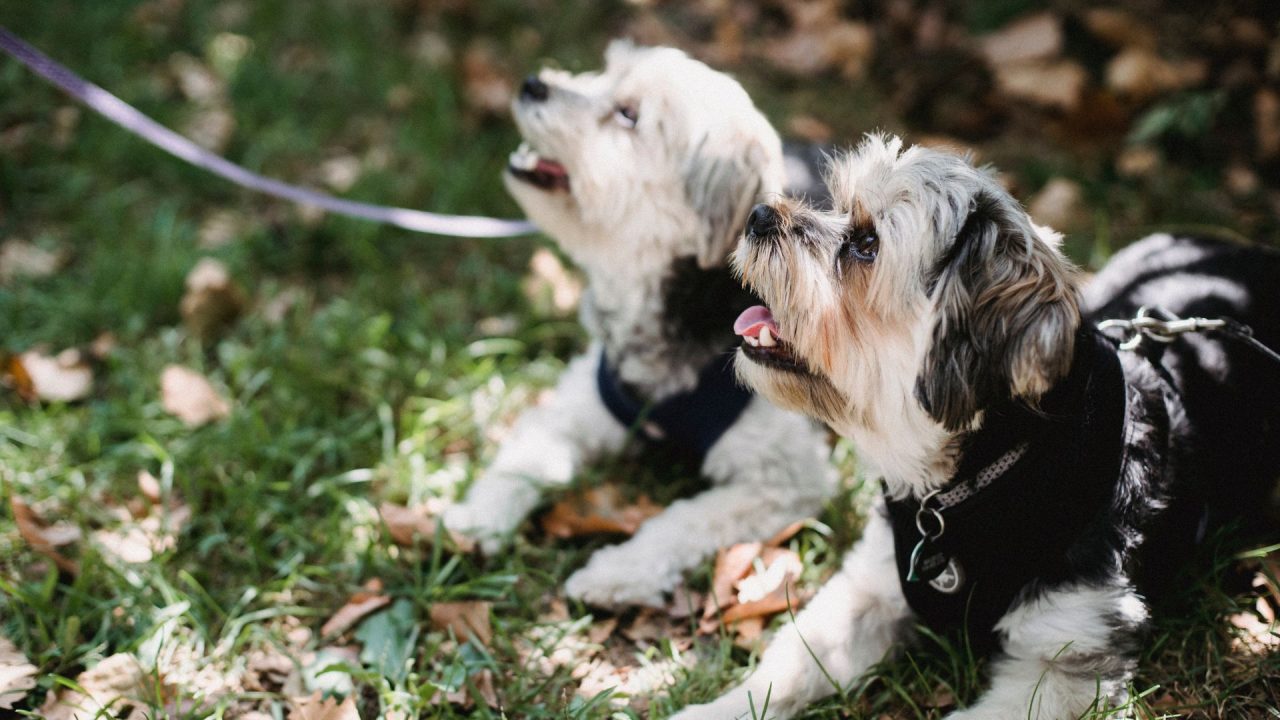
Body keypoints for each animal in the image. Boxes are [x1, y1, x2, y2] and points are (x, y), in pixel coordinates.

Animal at [445, 40, 834, 604]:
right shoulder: (580, 403)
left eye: (628, 114)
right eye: (604, 74)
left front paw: (616, 571)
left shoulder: (784, 478)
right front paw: (478, 519)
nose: (534, 83)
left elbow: (682, 522)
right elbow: (524, 461)